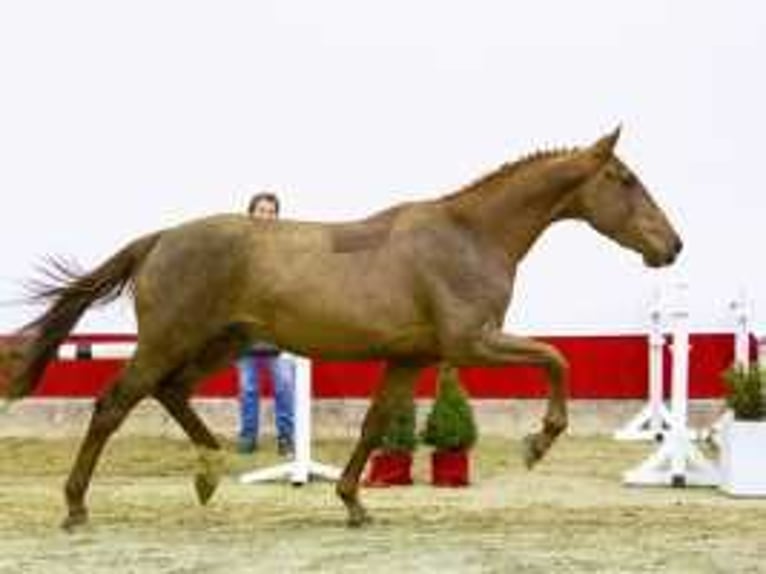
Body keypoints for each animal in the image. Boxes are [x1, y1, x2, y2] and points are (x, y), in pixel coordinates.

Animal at [1, 128, 684, 528]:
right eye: (625, 180)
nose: (672, 246)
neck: (469, 236)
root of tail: (161, 238)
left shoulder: (411, 357)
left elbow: (375, 424)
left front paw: (354, 502)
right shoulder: (471, 343)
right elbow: (556, 358)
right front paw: (537, 443)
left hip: (222, 342)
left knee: (171, 393)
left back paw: (208, 473)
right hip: (172, 339)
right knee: (114, 403)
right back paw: (77, 507)